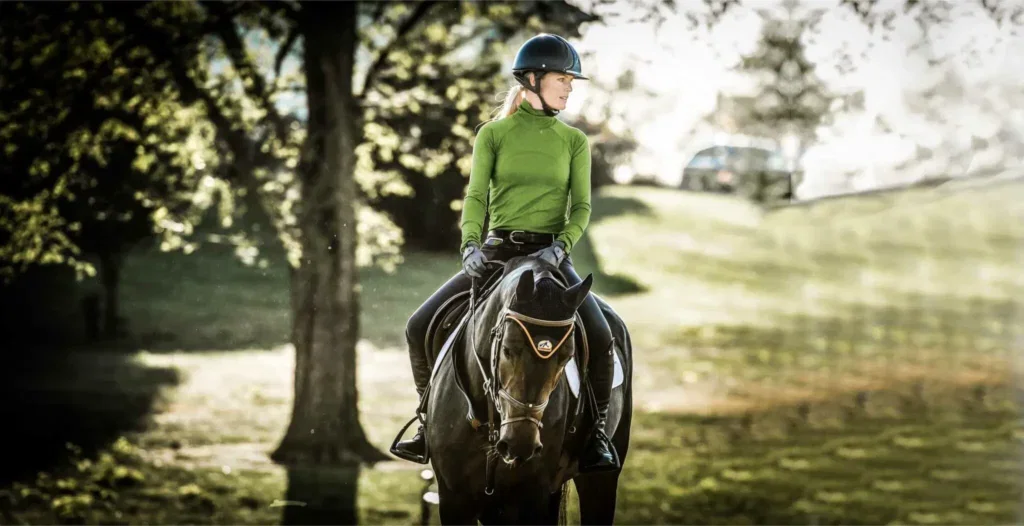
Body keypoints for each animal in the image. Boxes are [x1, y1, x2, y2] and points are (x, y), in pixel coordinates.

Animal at [413, 255, 634, 524]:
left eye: (566, 357)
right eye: (508, 349)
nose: (521, 445)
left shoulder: (531, 496)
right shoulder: (453, 497)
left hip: (601, 478)